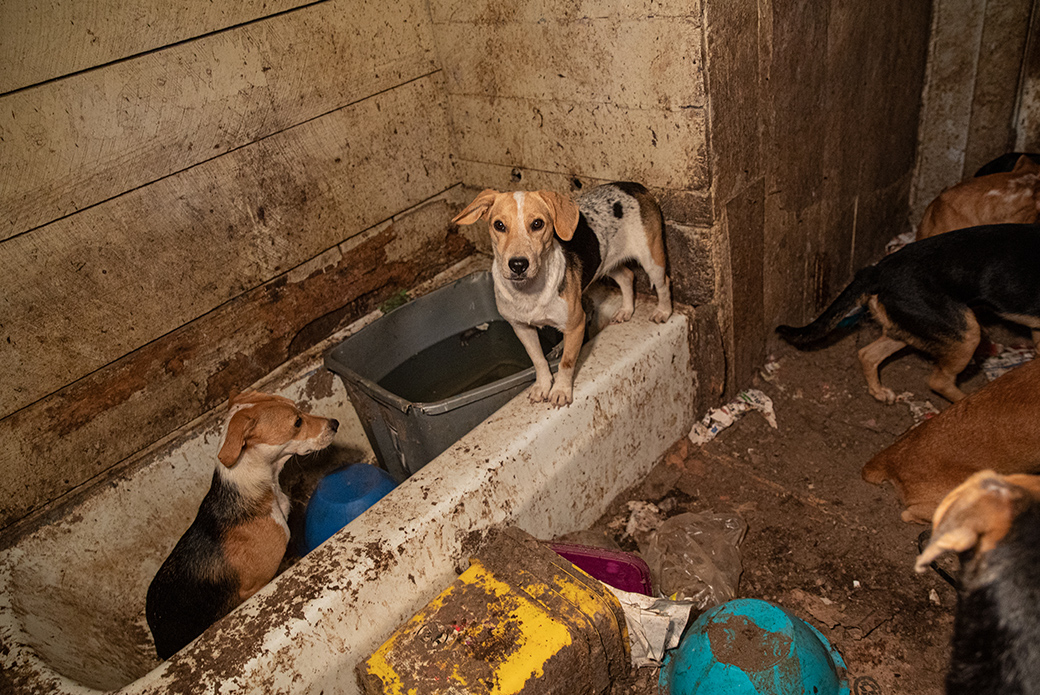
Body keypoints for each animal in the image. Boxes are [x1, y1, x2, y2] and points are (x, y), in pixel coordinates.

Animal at [455, 182, 673, 407]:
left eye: (537, 224)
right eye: (499, 225)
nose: (518, 265)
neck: (529, 291)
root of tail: (631, 185)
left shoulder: (575, 326)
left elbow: (566, 363)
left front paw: (560, 390)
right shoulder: (522, 328)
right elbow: (538, 360)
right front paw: (542, 386)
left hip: (651, 257)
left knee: (663, 282)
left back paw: (663, 312)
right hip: (604, 261)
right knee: (627, 276)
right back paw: (626, 310)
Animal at [777, 225, 1040, 401]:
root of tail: (877, 270)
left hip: (912, 329)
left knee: (867, 354)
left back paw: (879, 392)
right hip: (966, 335)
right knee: (938, 381)